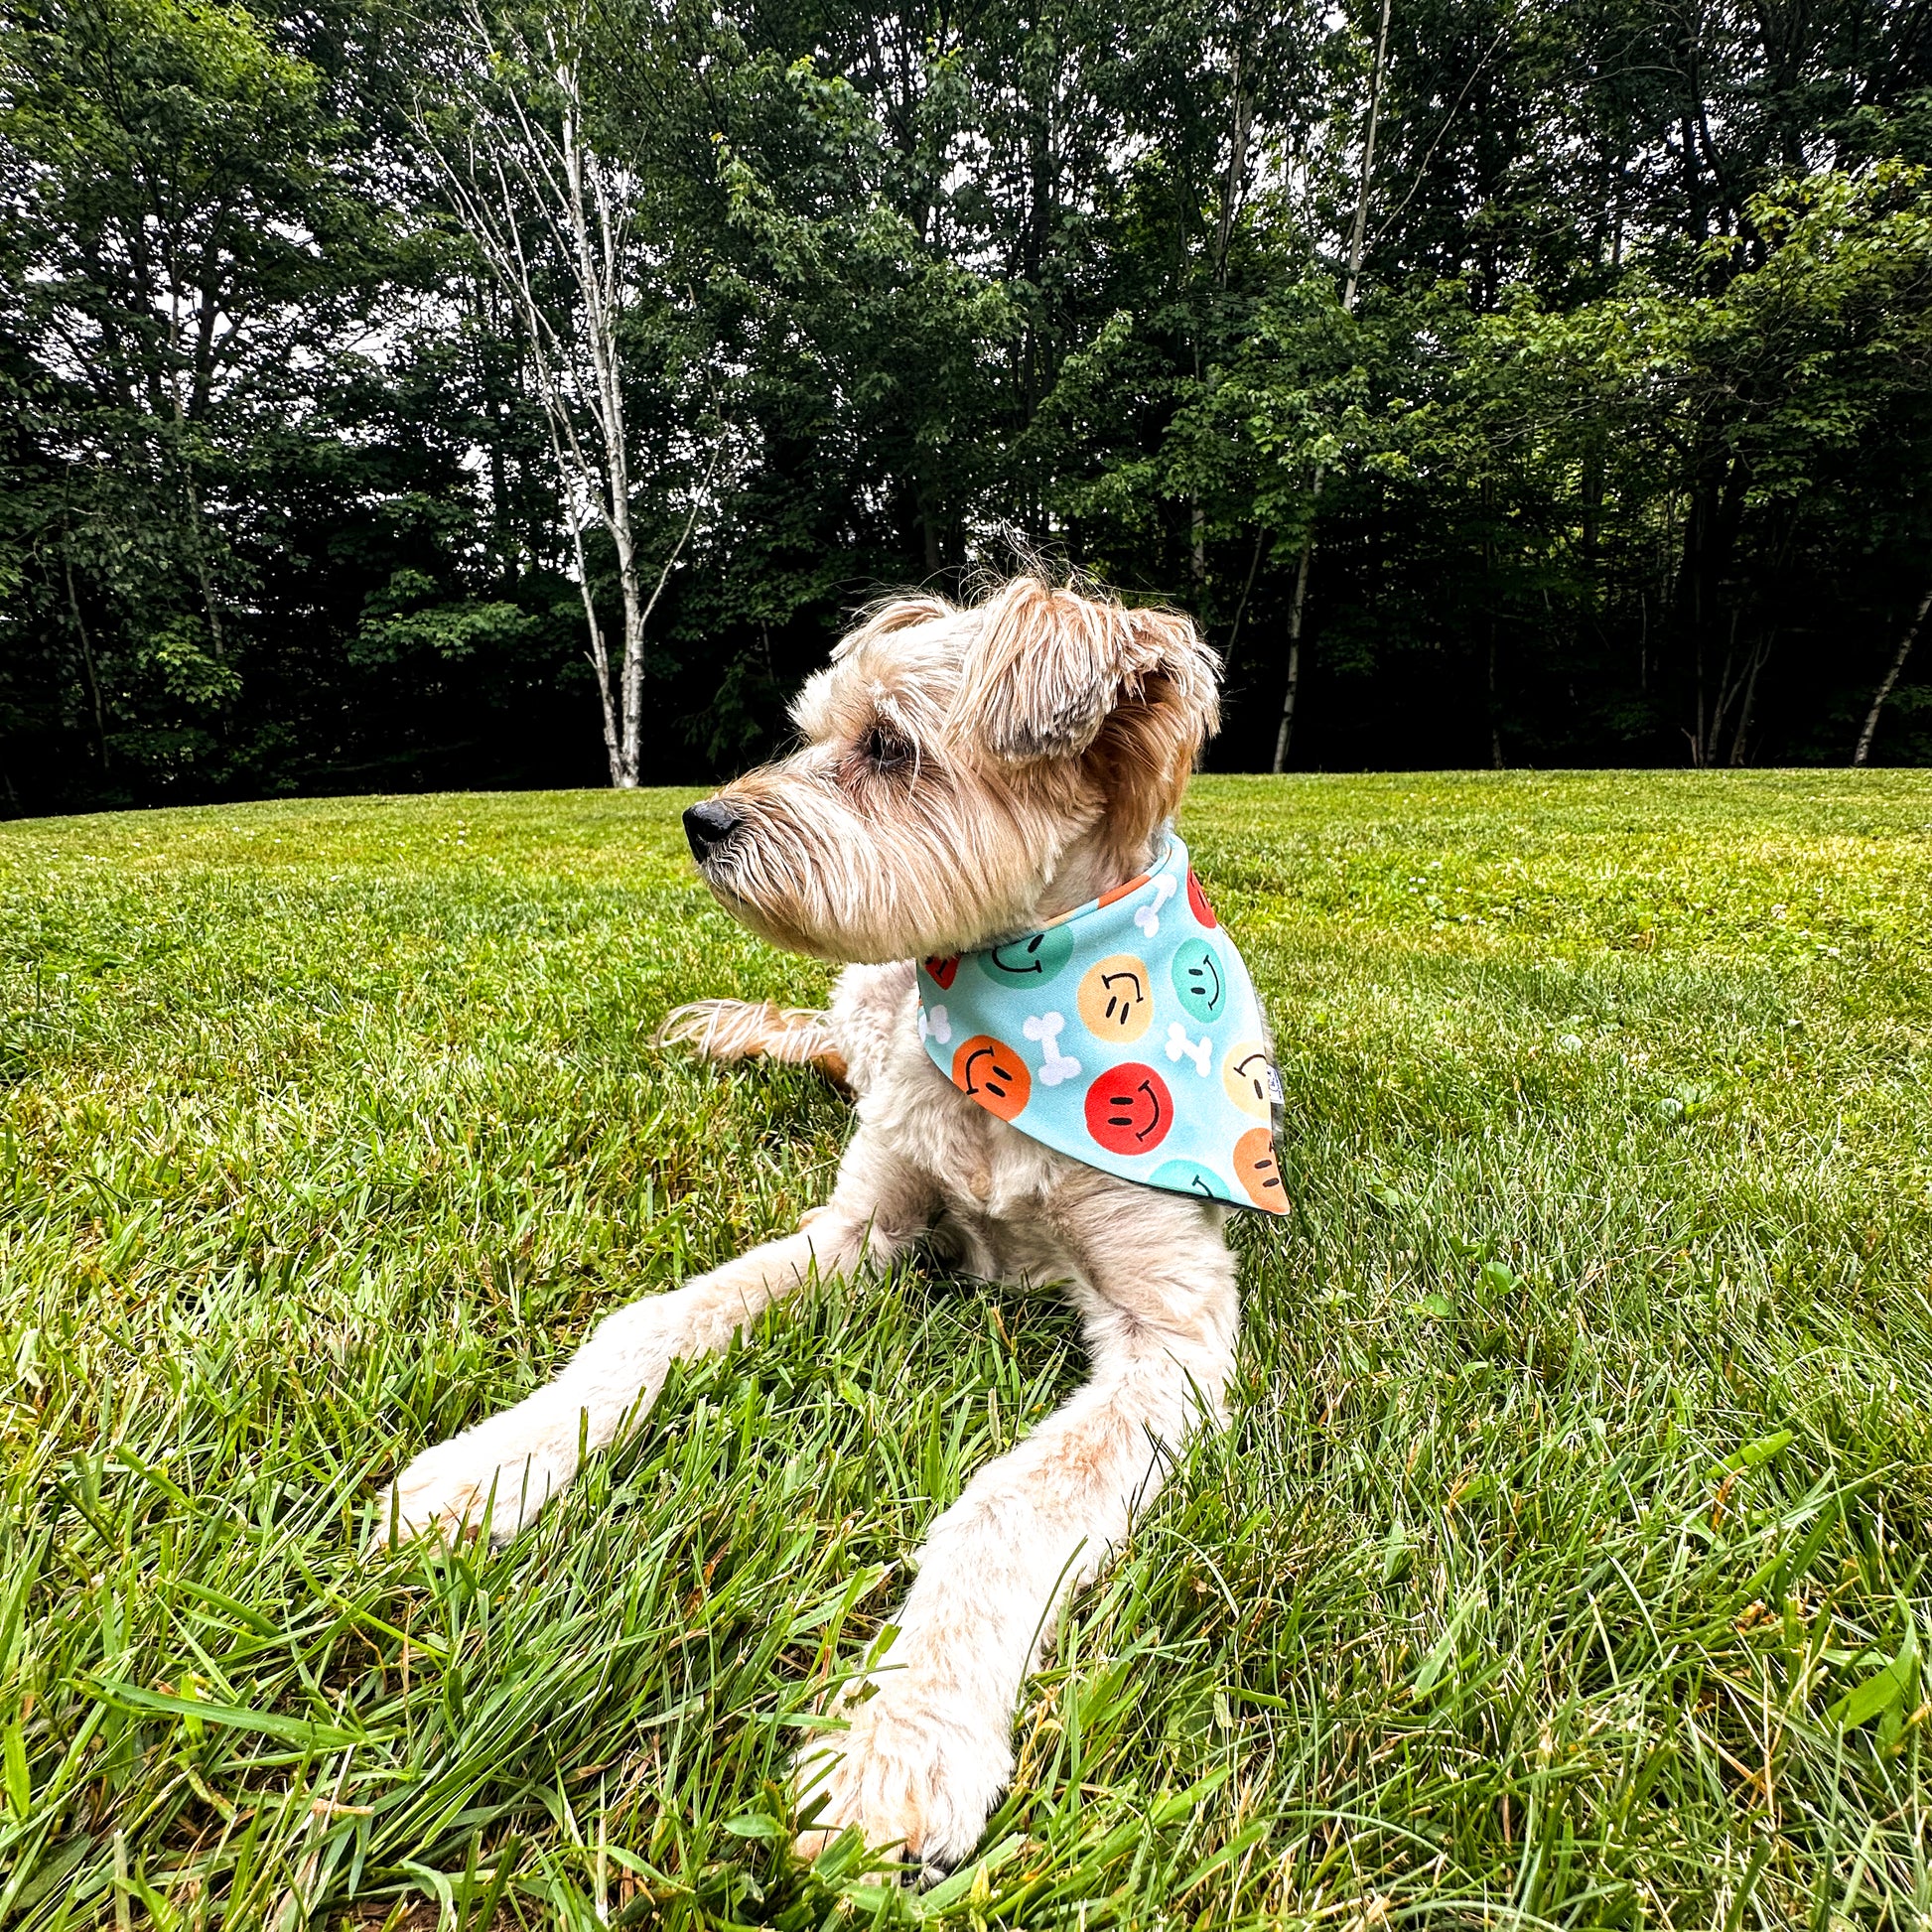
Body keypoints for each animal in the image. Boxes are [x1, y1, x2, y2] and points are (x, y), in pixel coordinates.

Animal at [376, 572, 1259, 1869]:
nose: (699, 820)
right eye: (813, 729)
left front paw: (901, 1731)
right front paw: (491, 1466)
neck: (1020, 1009)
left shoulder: (1174, 1334)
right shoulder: (855, 1227)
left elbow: (1006, 1504)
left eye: (888, 746)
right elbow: (648, 1323)